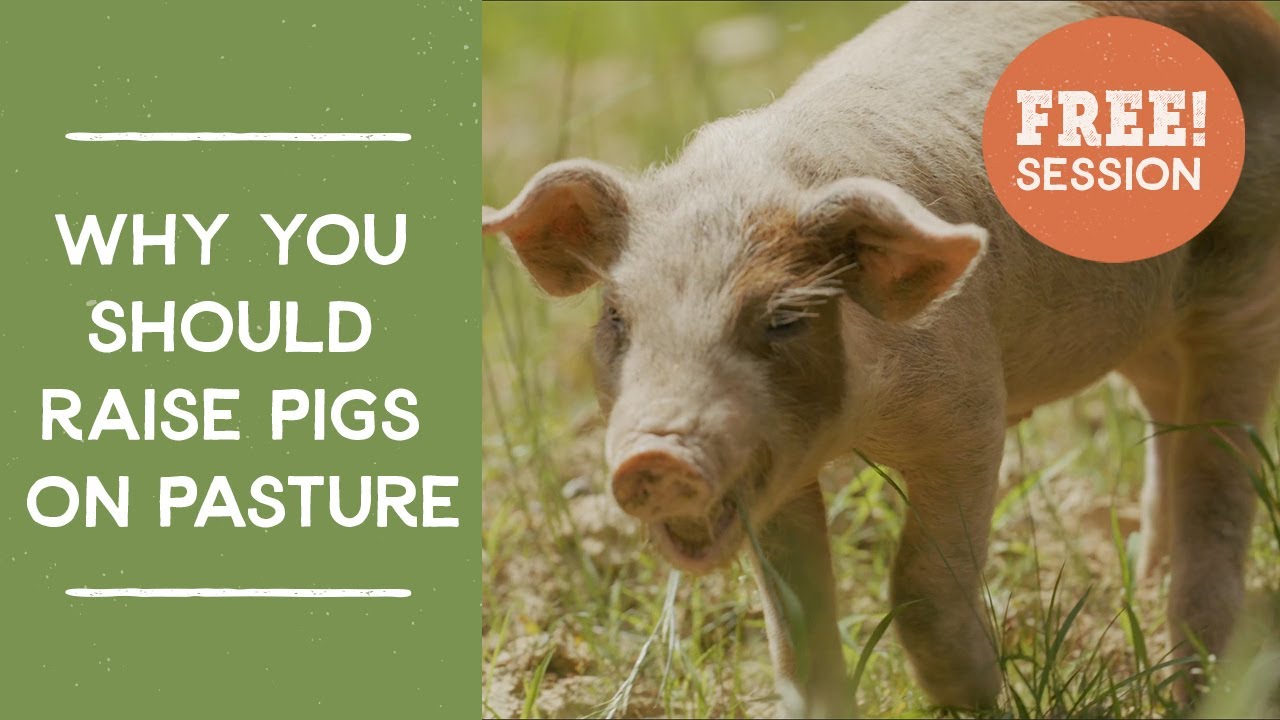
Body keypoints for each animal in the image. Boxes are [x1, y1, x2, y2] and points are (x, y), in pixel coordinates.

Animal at [482, 1, 1280, 717]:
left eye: (782, 320)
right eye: (619, 316)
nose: (656, 454)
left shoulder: (969, 411)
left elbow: (920, 580)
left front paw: (974, 702)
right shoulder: (775, 466)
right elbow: (795, 615)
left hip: (1240, 299)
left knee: (1217, 472)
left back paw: (1197, 684)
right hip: (1144, 334)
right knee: (1164, 418)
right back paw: (1143, 581)